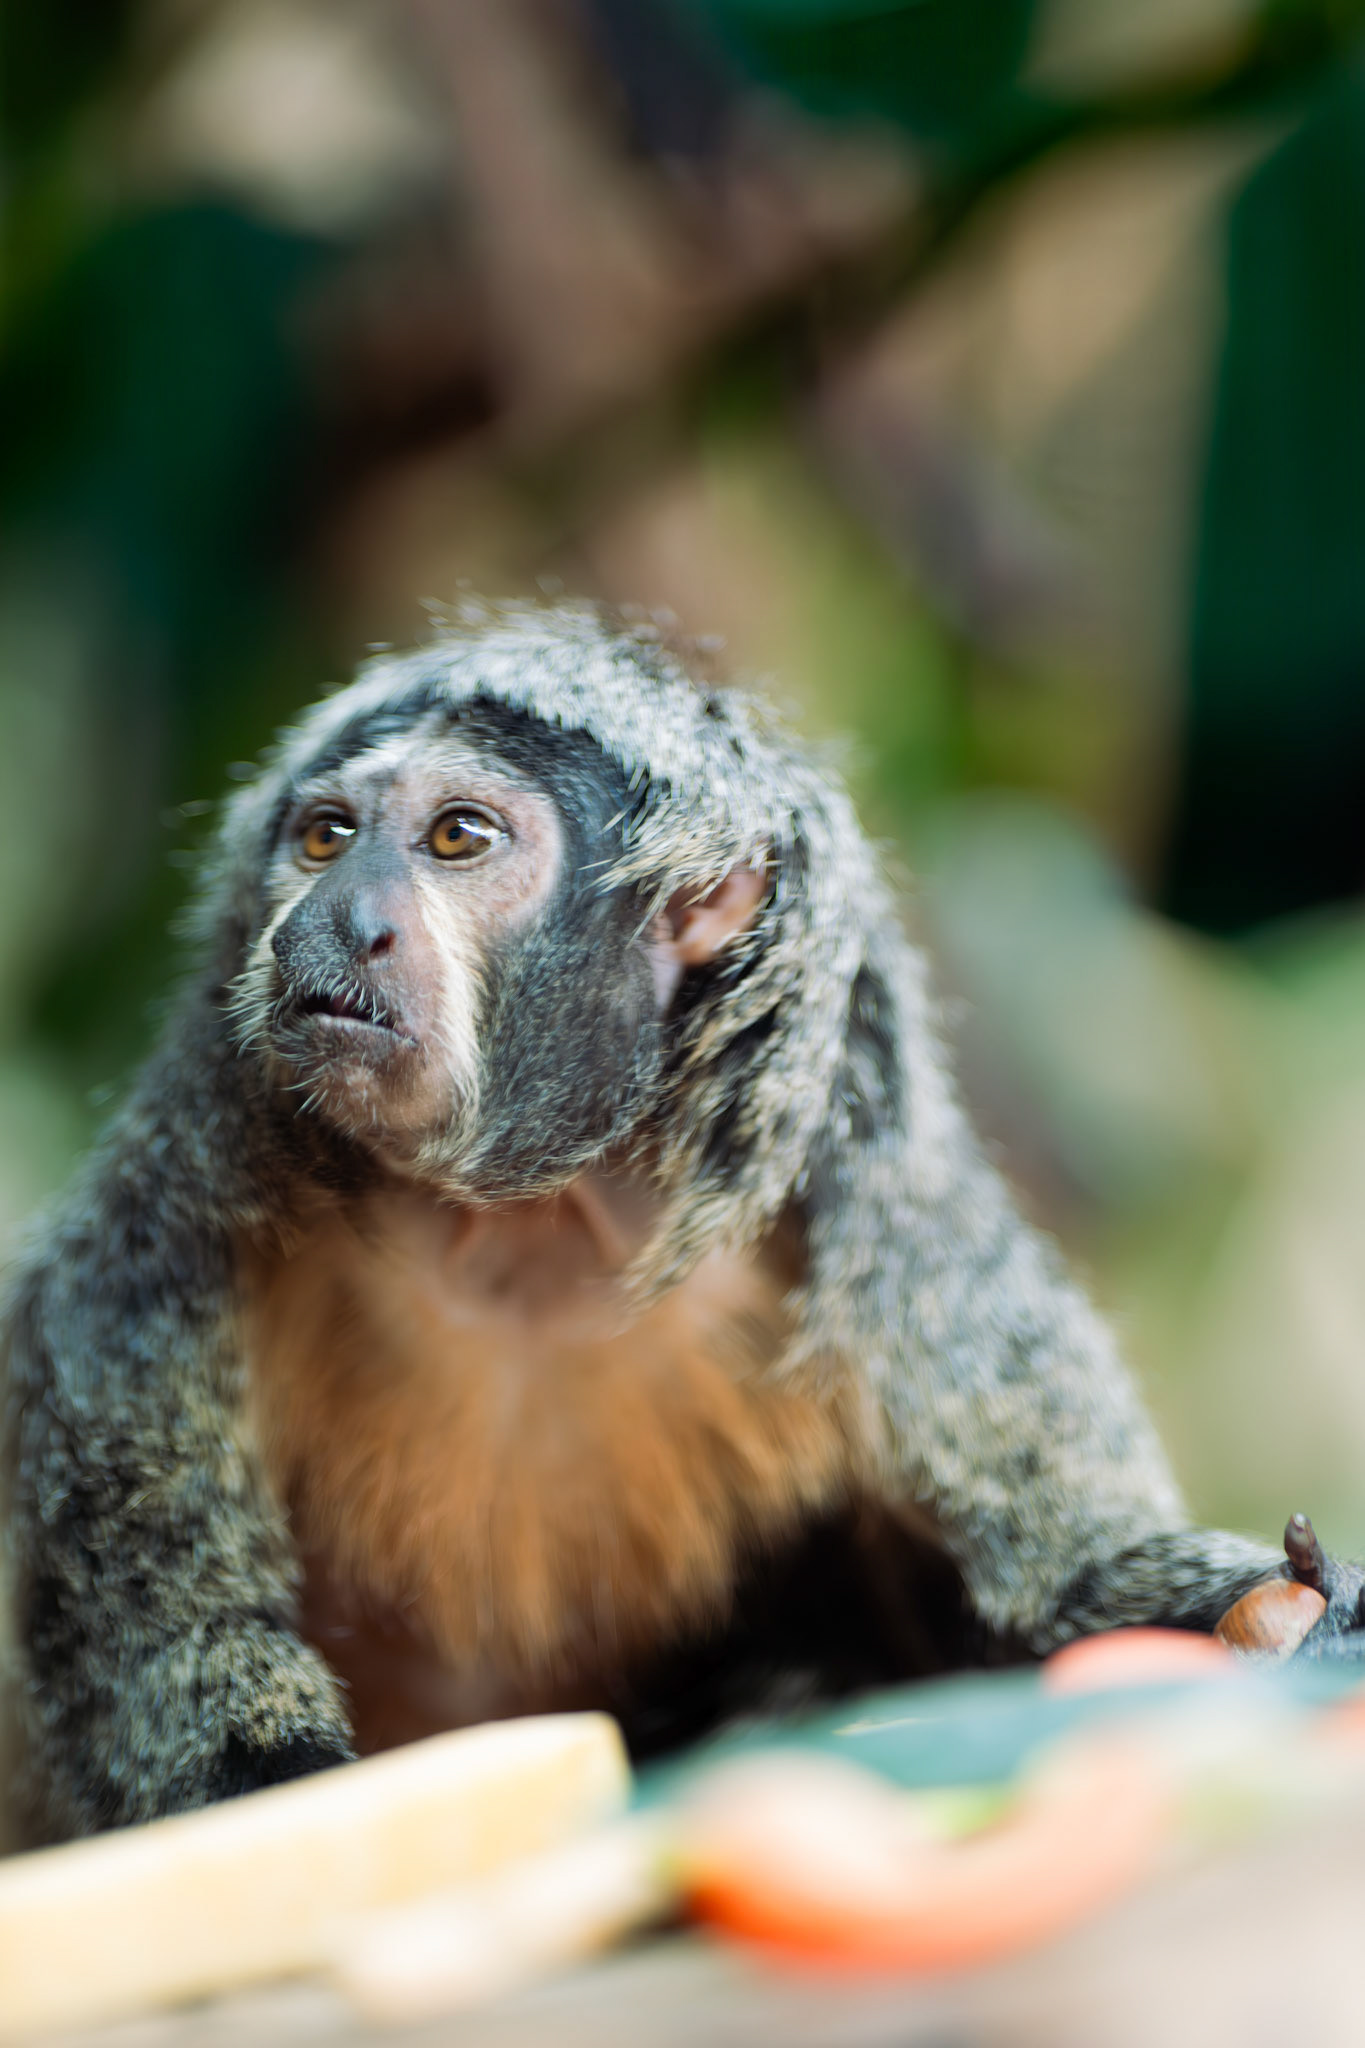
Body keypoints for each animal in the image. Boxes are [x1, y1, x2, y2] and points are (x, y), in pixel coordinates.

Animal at [3, 598, 1363, 1843]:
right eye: (325, 837)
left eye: (456, 836)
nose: (339, 918)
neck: (529, 1228)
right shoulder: (169, 1218)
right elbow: (187, 1690)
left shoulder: (892, 1236)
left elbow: (1052, 1593)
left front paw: (1300, 1621)